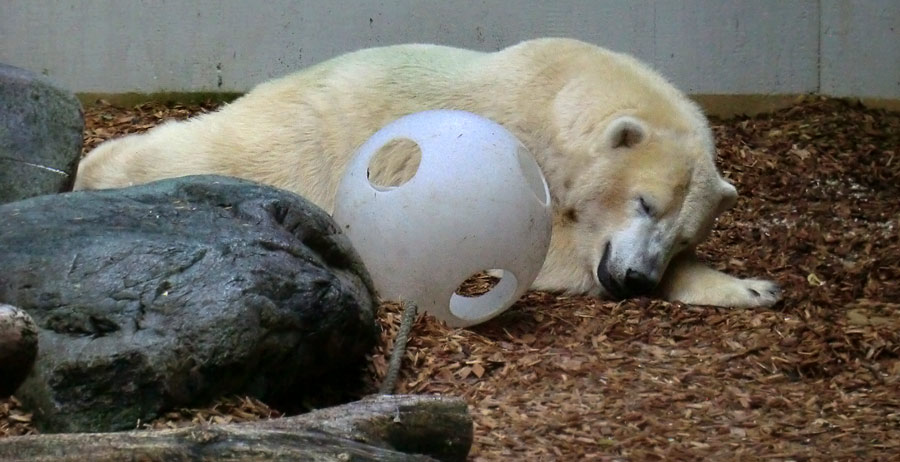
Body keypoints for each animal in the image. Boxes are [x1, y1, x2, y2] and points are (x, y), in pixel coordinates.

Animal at [74, 38, 780, 308]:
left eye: (683, 234)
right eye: (644, 203)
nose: (634, 277)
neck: (554, 96)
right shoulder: (509, 147)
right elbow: (544, 248)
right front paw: (751, 286)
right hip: (299, 140)